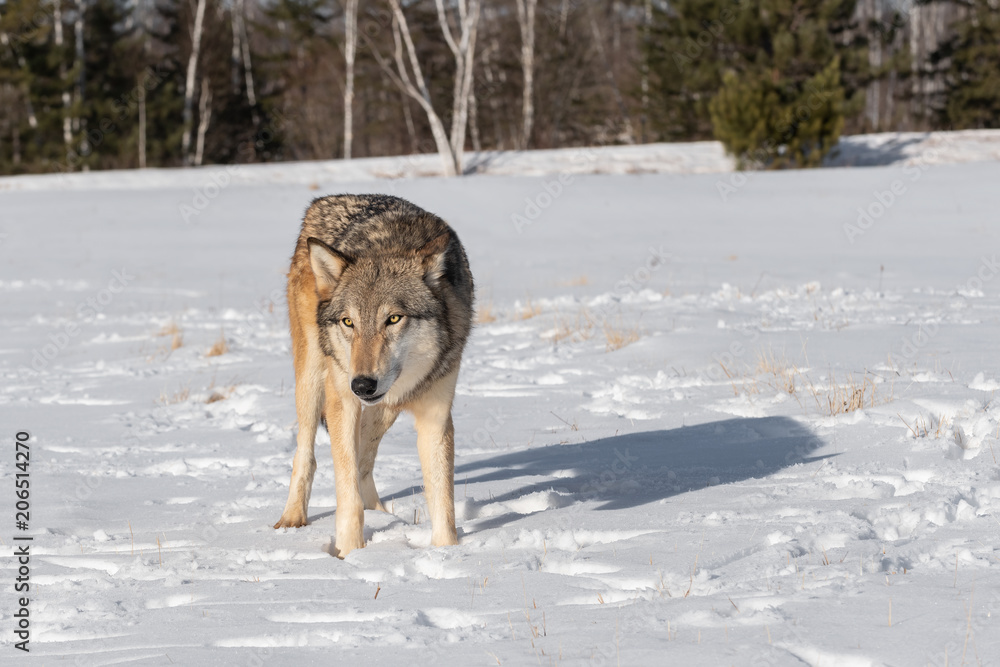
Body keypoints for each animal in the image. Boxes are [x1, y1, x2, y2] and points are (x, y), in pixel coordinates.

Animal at [273, 194, 474, 557]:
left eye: (393, 318)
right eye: (348, 322)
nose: (362, 385)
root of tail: (326, 200)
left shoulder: (436, 416)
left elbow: (443, 501)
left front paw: (447, 552)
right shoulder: (342, 400)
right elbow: (346, 490)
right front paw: (350, 553)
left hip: (385, 409)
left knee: (365, 457)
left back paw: (382, 514)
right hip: (313, 381)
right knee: (306, 454)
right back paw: (293, 518)